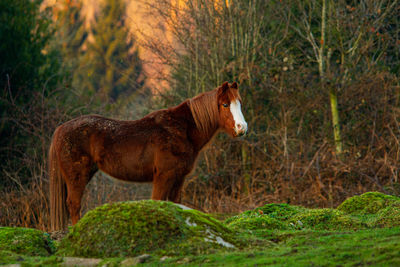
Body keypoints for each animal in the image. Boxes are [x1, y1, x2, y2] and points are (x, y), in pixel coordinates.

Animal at [49, 81, 247, 230]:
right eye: (225, 104)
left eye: (239, 102)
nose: (242, 128)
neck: (181, 130)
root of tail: (60, 129)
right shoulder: (163, 177)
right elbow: (158, 201)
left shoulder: (178, 178)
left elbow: (174, 204)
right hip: (77, 176)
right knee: (74, 204)